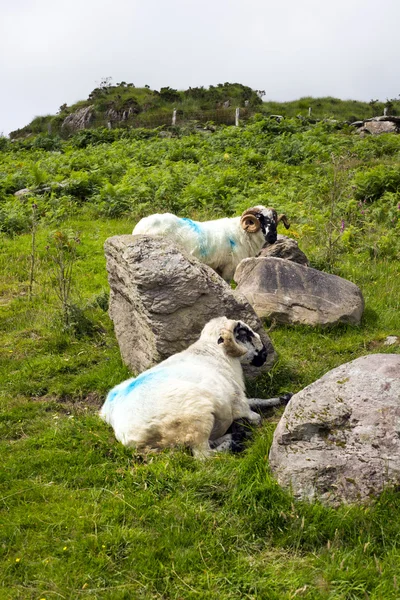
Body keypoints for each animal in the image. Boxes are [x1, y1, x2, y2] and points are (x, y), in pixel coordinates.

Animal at [99, 316, 284, 458]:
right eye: (245, 333)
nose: (265, 353)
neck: (216, 354)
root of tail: (127, 435)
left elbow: (256, 400)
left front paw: (282, 398)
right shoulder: (237, 400)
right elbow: (254, 415)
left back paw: (236, 435)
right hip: (196, 419)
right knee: (204, 455)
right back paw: (234, 442)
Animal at [133, 205, 290, 282]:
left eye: (273, 219)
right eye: (260, 218)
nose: (272, 237)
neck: (242, 233)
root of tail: (139, 227)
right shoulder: (229, 268)